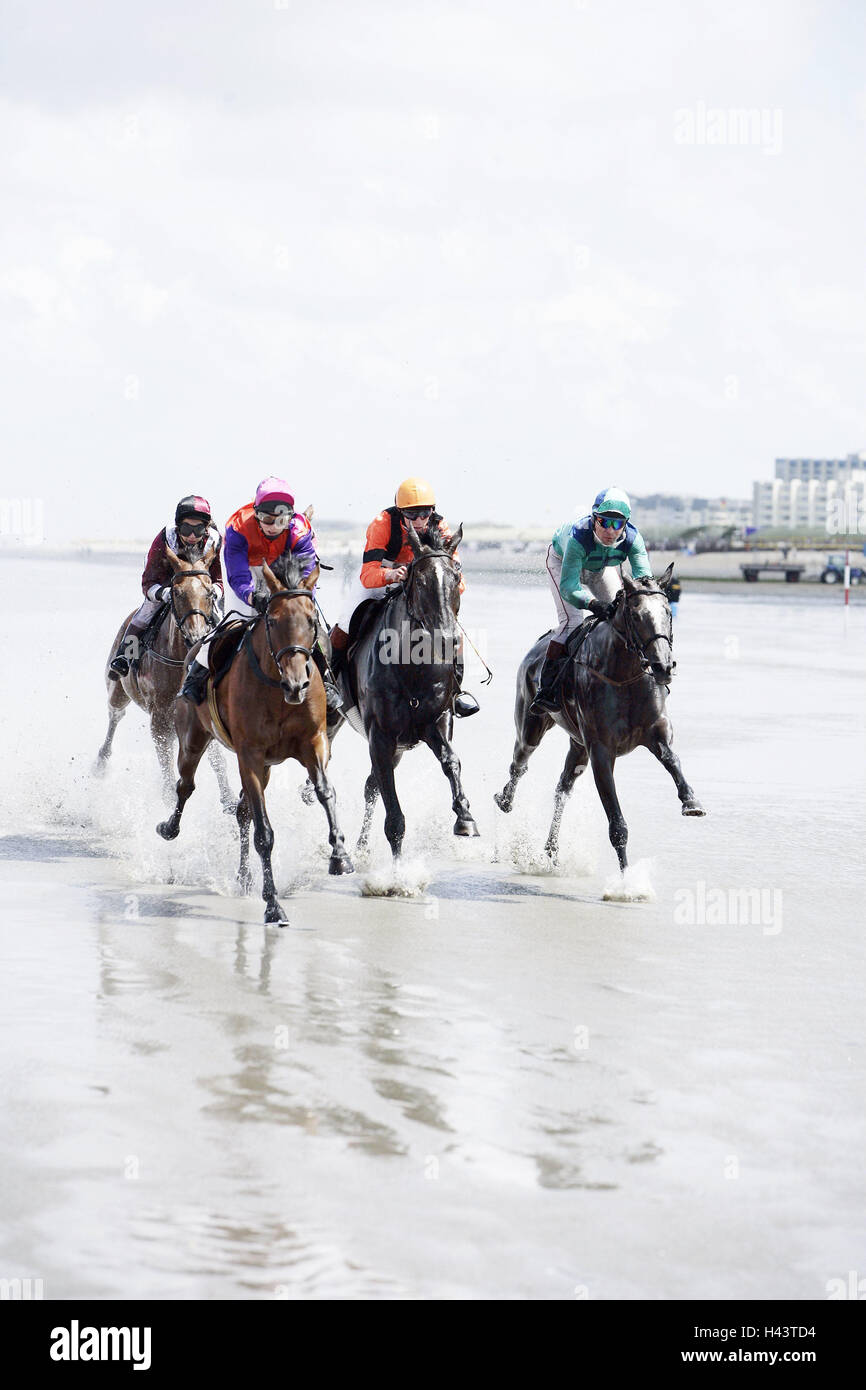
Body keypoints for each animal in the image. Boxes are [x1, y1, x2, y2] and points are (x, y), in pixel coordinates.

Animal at [95, 536, 233, 811]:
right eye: (177, 592)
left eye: (209, 593)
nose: (195, 636)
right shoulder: (159, 719)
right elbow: (167, 769)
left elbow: (217, 759)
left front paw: (230, 800)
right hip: (117, 688)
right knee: (115, 714)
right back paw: (101, 763)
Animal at [156, 550, 355, 922]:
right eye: (273, 621)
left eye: (311, 620)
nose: (297, 685)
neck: (277, 690)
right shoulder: (249, 753)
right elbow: (264, 832)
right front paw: (273, 904)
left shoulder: (313, 742)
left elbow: (325, 791)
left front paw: (340, 855)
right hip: (193, 737)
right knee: (186, 785)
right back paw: (169, 827)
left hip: (266, 765)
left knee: (241, 811)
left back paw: (245, 876)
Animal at [494, 561, 706, 867]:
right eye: (636, 615)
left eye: (667, 612)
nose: (663, 666)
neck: (623, 676)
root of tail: (536, 647)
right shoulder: (601, 750)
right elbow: (616, 823)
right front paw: (626, 877)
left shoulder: (656, 731)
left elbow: (671, 758)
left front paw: (691, 801)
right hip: (531, 725)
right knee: (519, 763)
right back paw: (505, 800)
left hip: (577, 744)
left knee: (563, 788)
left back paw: (551, 849)